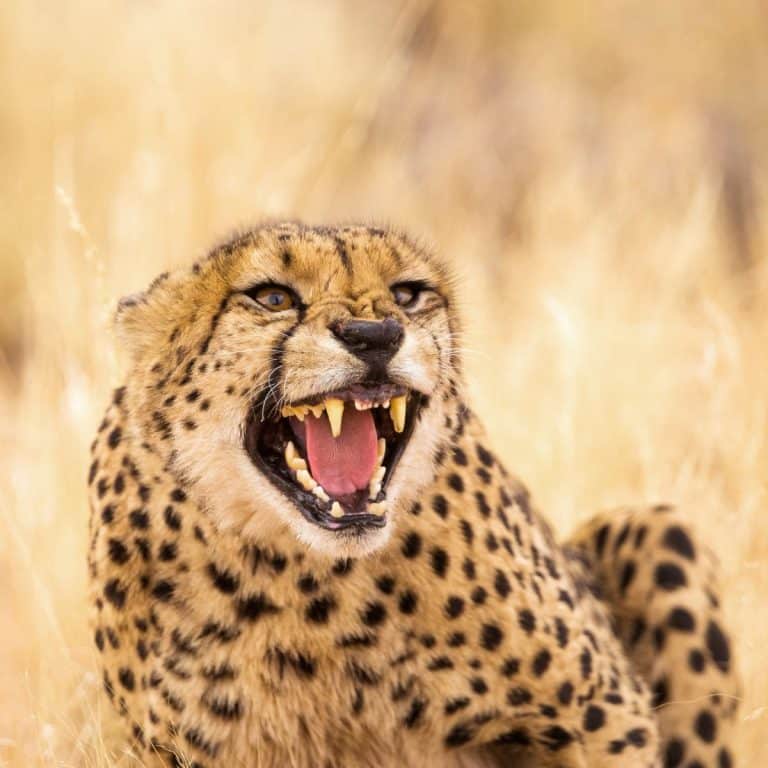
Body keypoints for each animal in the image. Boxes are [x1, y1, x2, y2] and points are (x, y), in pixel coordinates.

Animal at [88, 222, 740, 768]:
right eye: (272, 297)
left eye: (406, 294)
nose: (374, 335)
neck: (309, 585)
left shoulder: (602, 712)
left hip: (657, 526)